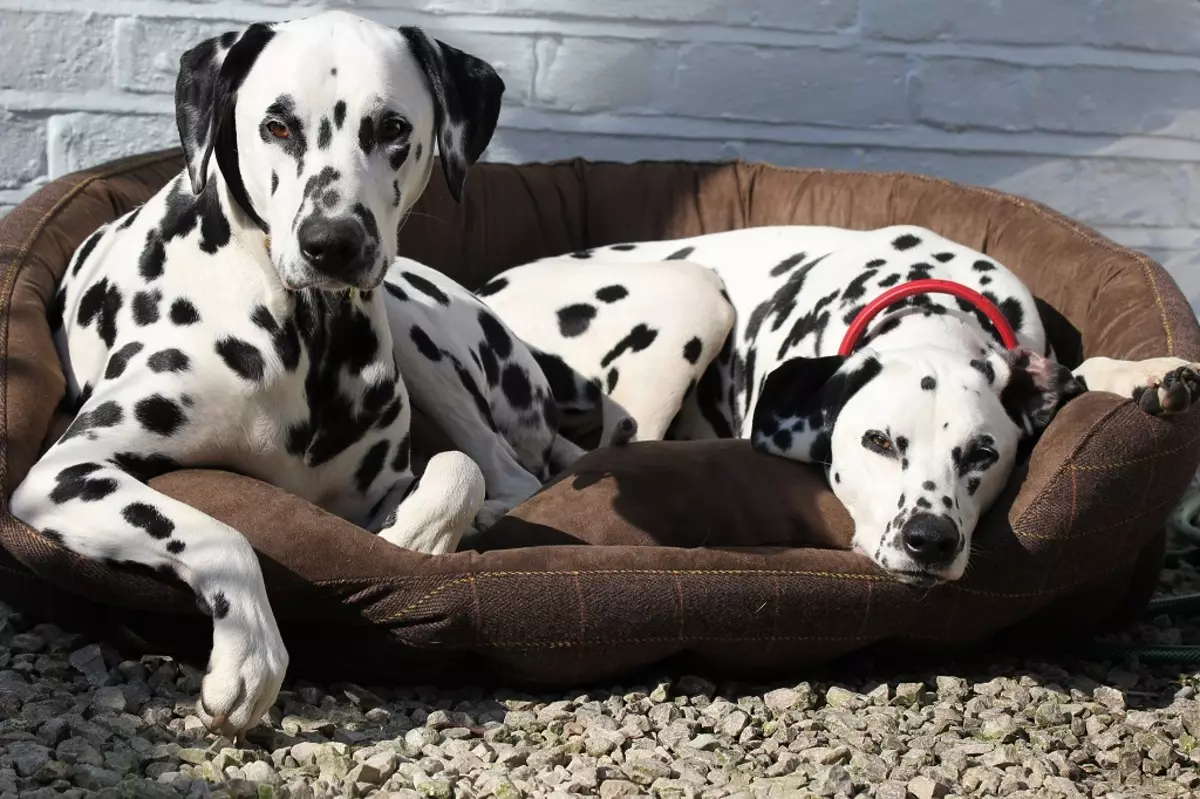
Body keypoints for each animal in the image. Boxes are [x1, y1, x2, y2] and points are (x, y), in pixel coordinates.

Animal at [9, 10, 628, 734]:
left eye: (393, 128)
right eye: (277, 126)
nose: (333, 243)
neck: (307, 333)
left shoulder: (378, 484)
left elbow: (456, 474)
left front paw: (417, 535)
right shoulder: (62, 475)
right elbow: (222, 534)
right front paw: (250, 657)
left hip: (418, 330)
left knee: (507, 469)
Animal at [480, 224, 1200, 585]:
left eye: (982, 454)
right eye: (878, 441)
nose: (929, 541)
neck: (929, 300)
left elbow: (1083, 372)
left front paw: (1149, 373)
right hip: (692, 294)